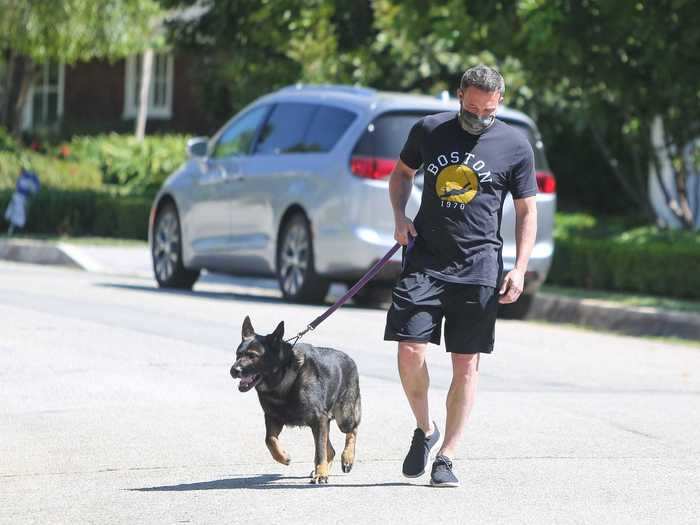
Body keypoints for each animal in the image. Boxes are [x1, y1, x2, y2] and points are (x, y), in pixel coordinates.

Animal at [231, 316, 364, 484]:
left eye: (253, 356)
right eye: (238, 354)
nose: (233, 370)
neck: (283, 379)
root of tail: (350, 359)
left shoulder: (318, 419)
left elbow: (320, 451)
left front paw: (321, 473)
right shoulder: (273, 418)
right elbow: (269, 439)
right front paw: (283, 457)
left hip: (344, 417)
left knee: (352, 431)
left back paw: (347, 459)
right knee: (331, 449)